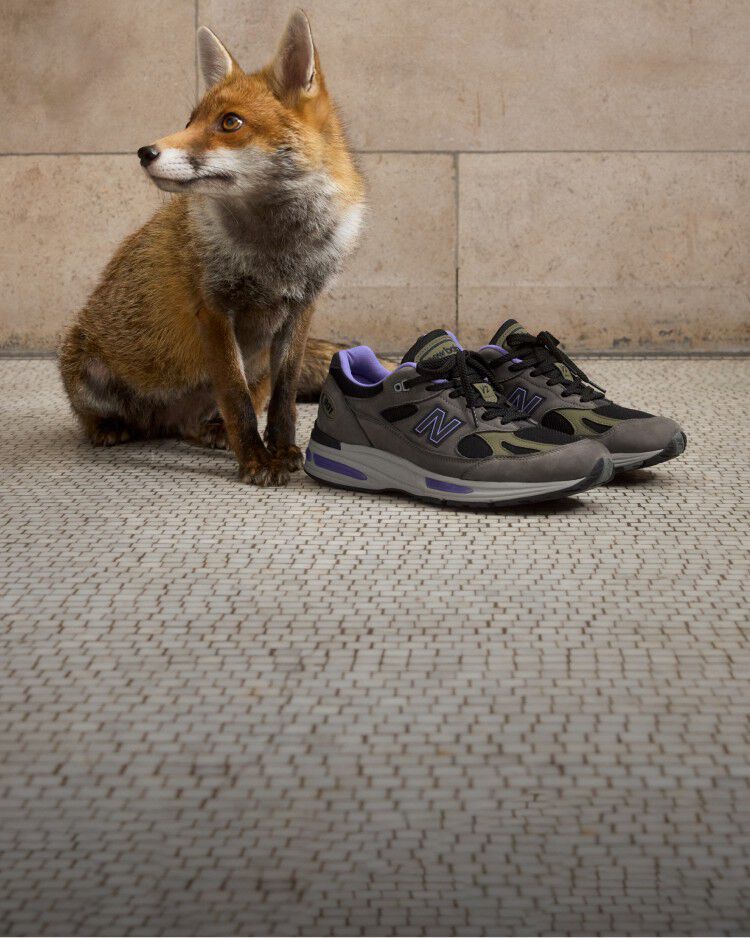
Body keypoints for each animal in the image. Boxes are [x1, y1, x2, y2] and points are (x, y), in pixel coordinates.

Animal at [59, 9, 365, 485]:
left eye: (230, 123)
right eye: (190, 122)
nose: (145, 151)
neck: (277, 253)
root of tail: (163, 422)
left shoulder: (301, 309)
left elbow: (282, 401)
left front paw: (281, 451)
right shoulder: (215, 308)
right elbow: (236, 399)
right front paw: (256, 460)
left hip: (254, 367)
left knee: (212, 416)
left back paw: (211, 431)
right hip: (85, 367)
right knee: (100, 416)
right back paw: (110, 427)